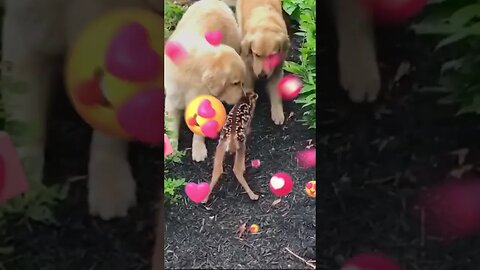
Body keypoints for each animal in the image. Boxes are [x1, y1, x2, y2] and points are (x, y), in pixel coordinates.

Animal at [164, 0, 248, 161]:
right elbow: (172, 127)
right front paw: (171, 149)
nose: (243, 97)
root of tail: (216, 2)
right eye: (235, 83)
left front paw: (198, 149)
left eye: (241, 82)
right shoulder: (172, 100)